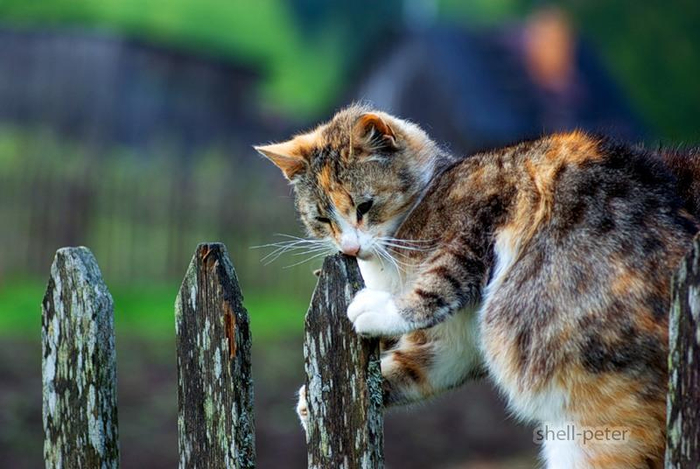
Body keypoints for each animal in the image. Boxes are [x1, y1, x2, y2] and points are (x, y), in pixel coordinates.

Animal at [256, 104, 700, 466]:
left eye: (365, 206)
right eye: (321, 218)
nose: (349, 247)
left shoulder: (485, 213)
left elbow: (441, 280)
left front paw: (377, 309)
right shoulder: (451, 344)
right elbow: (415, 366)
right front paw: (310, 400)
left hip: (598, 423)